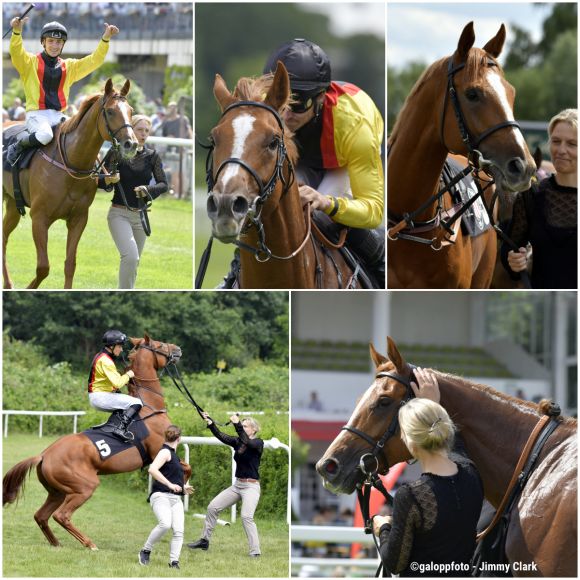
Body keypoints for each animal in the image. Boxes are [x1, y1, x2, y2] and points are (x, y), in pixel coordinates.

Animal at [1, 80, 137, 288]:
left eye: (130, 110)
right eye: (111, 111)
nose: (132, 143)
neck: (71, 163)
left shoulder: (78, 219)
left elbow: (70, 264)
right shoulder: (39, 218)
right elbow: (43, 267)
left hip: (13, 204)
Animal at [2, 336, 184, 548]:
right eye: (160, 345)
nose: (178, 349)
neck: (149, 407)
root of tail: (44, 455)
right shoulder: (159, 452)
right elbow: (185, 468)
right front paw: (182, 488)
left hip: (57, 492)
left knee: (41, 516)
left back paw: (56, 544)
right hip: (84, 487)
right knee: (61, 515)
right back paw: (90, 544)